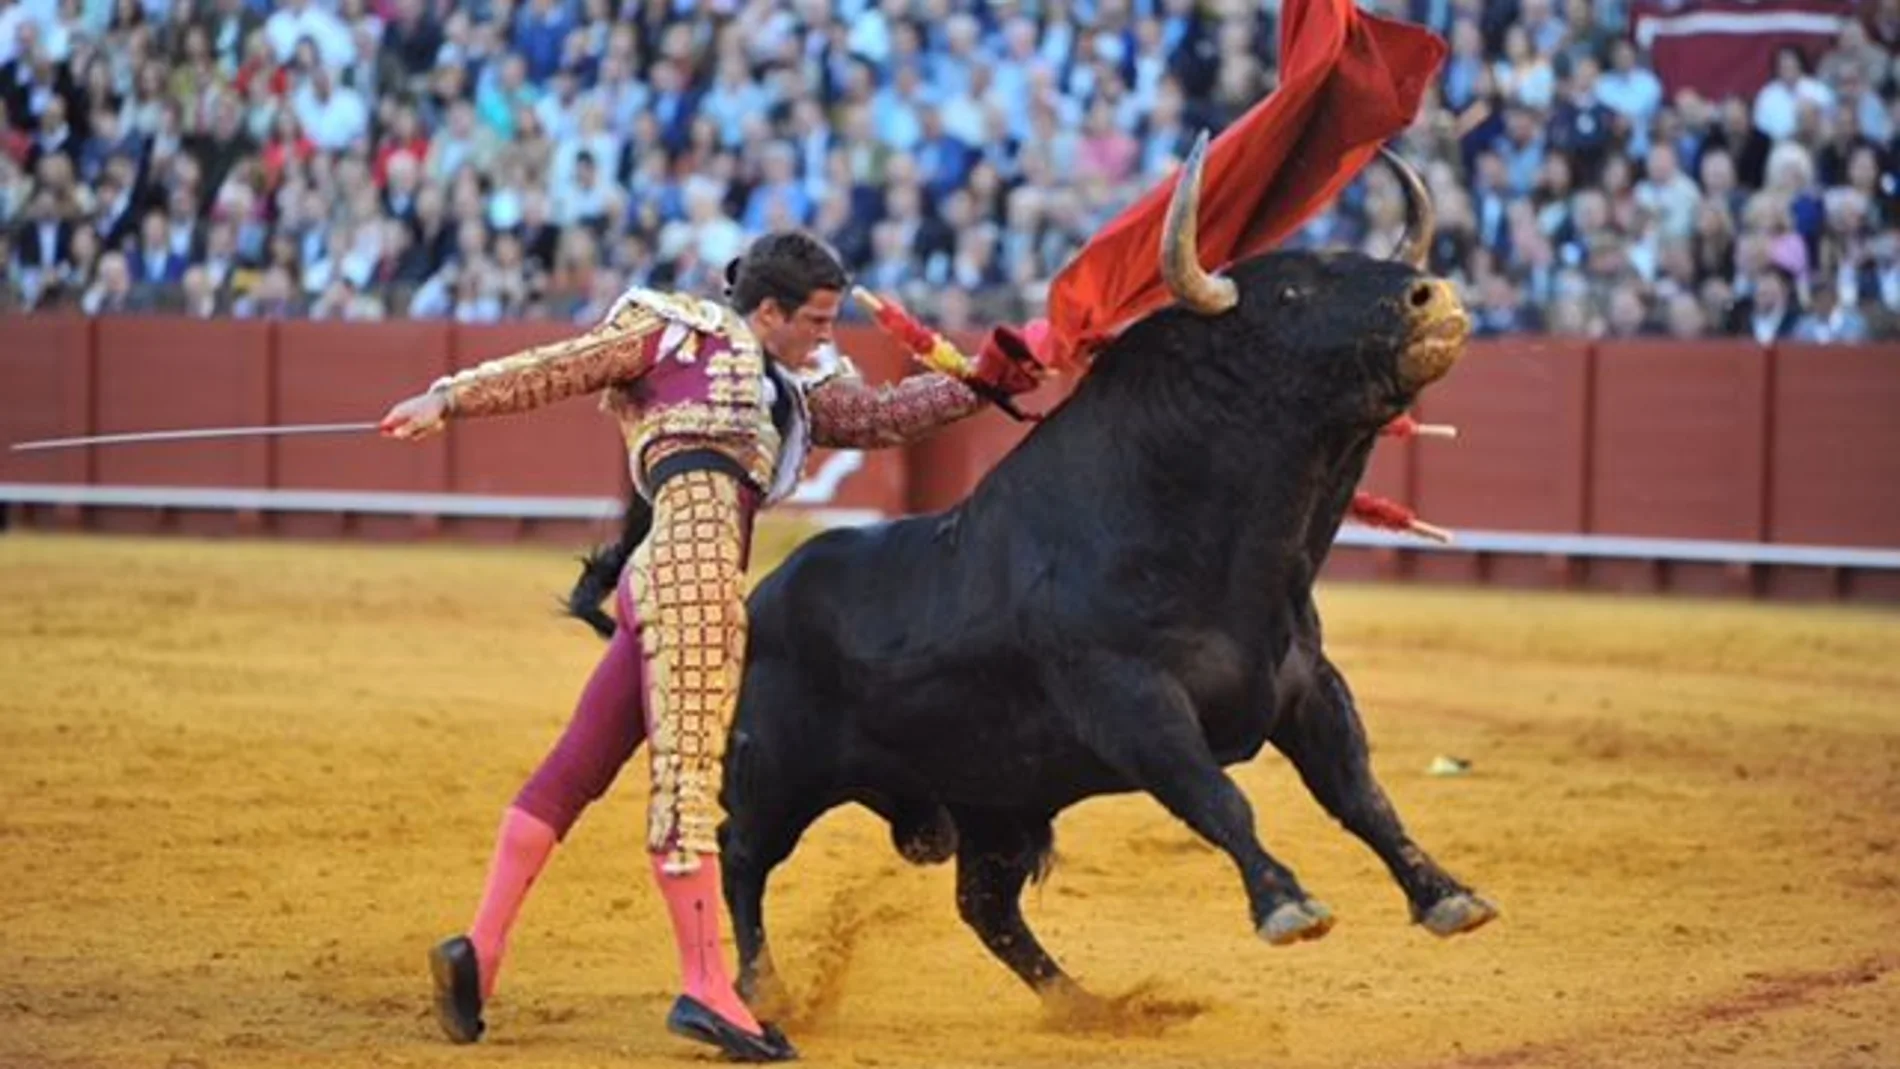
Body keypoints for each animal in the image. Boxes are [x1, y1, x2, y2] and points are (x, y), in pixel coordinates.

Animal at [570, 137, 1489, 1017]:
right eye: (1293, 292)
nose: (1433, 296)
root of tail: (758, 601)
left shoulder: (1308, 686)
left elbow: (1362, 794)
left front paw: (1448, 895)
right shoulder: (1131, 702)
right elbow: (1217, 795)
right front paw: (1287, 904)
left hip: (995, 801)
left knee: (986, 906)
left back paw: (1088, 1007)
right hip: (776, 775)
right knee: (738, 856)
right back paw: (760, 991)